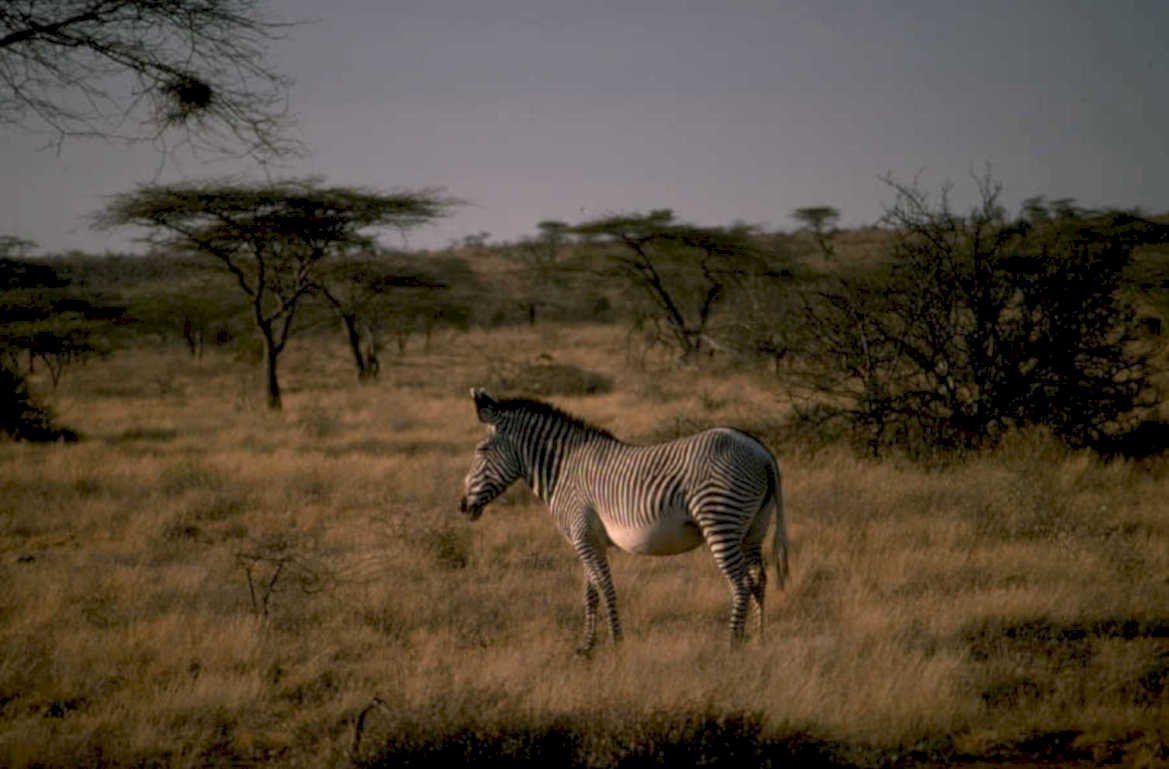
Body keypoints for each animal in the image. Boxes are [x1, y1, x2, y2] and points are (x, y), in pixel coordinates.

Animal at [458, 388, 789, 652]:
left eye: (481, 450)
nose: (462, 506)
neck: (564, 471)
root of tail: (761, 451)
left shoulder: (582, 536)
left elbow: (605, 587)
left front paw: (617, 643)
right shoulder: (589, 539)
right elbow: (590, 593)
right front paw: (586, 646)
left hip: (721, 521)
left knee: (740, 583)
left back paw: (732, 644)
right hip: (753, 529)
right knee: (758, 579)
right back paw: (758, 641)